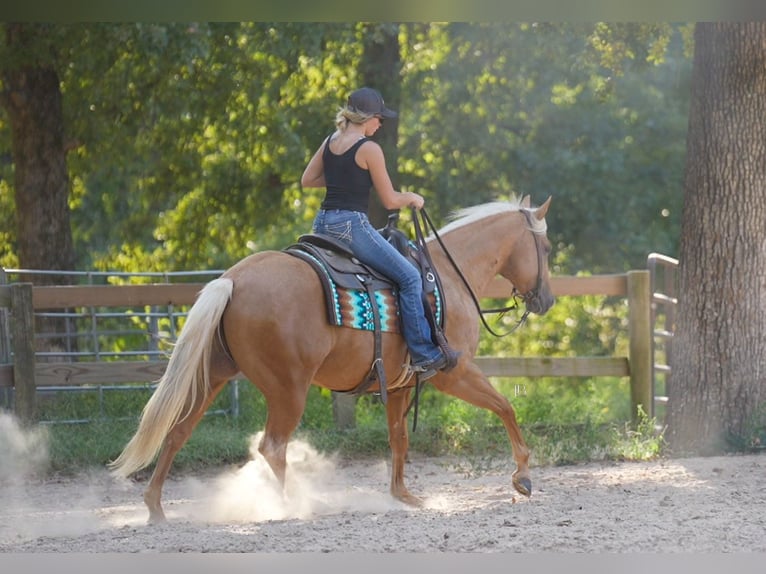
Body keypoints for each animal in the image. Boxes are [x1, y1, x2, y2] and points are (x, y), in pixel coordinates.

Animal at [109, 194, 555, 523]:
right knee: (272, 447)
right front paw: (523, 476)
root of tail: (233, 279)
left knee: (177, 432)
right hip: (288, 388)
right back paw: (296, 506)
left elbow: (399, 437)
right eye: (547, 248)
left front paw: (403, 496)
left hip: (214, 375)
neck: (445, 274)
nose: (547, 300)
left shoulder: (401, 384)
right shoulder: (454, 371)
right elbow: (505, 406)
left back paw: (155, 508)